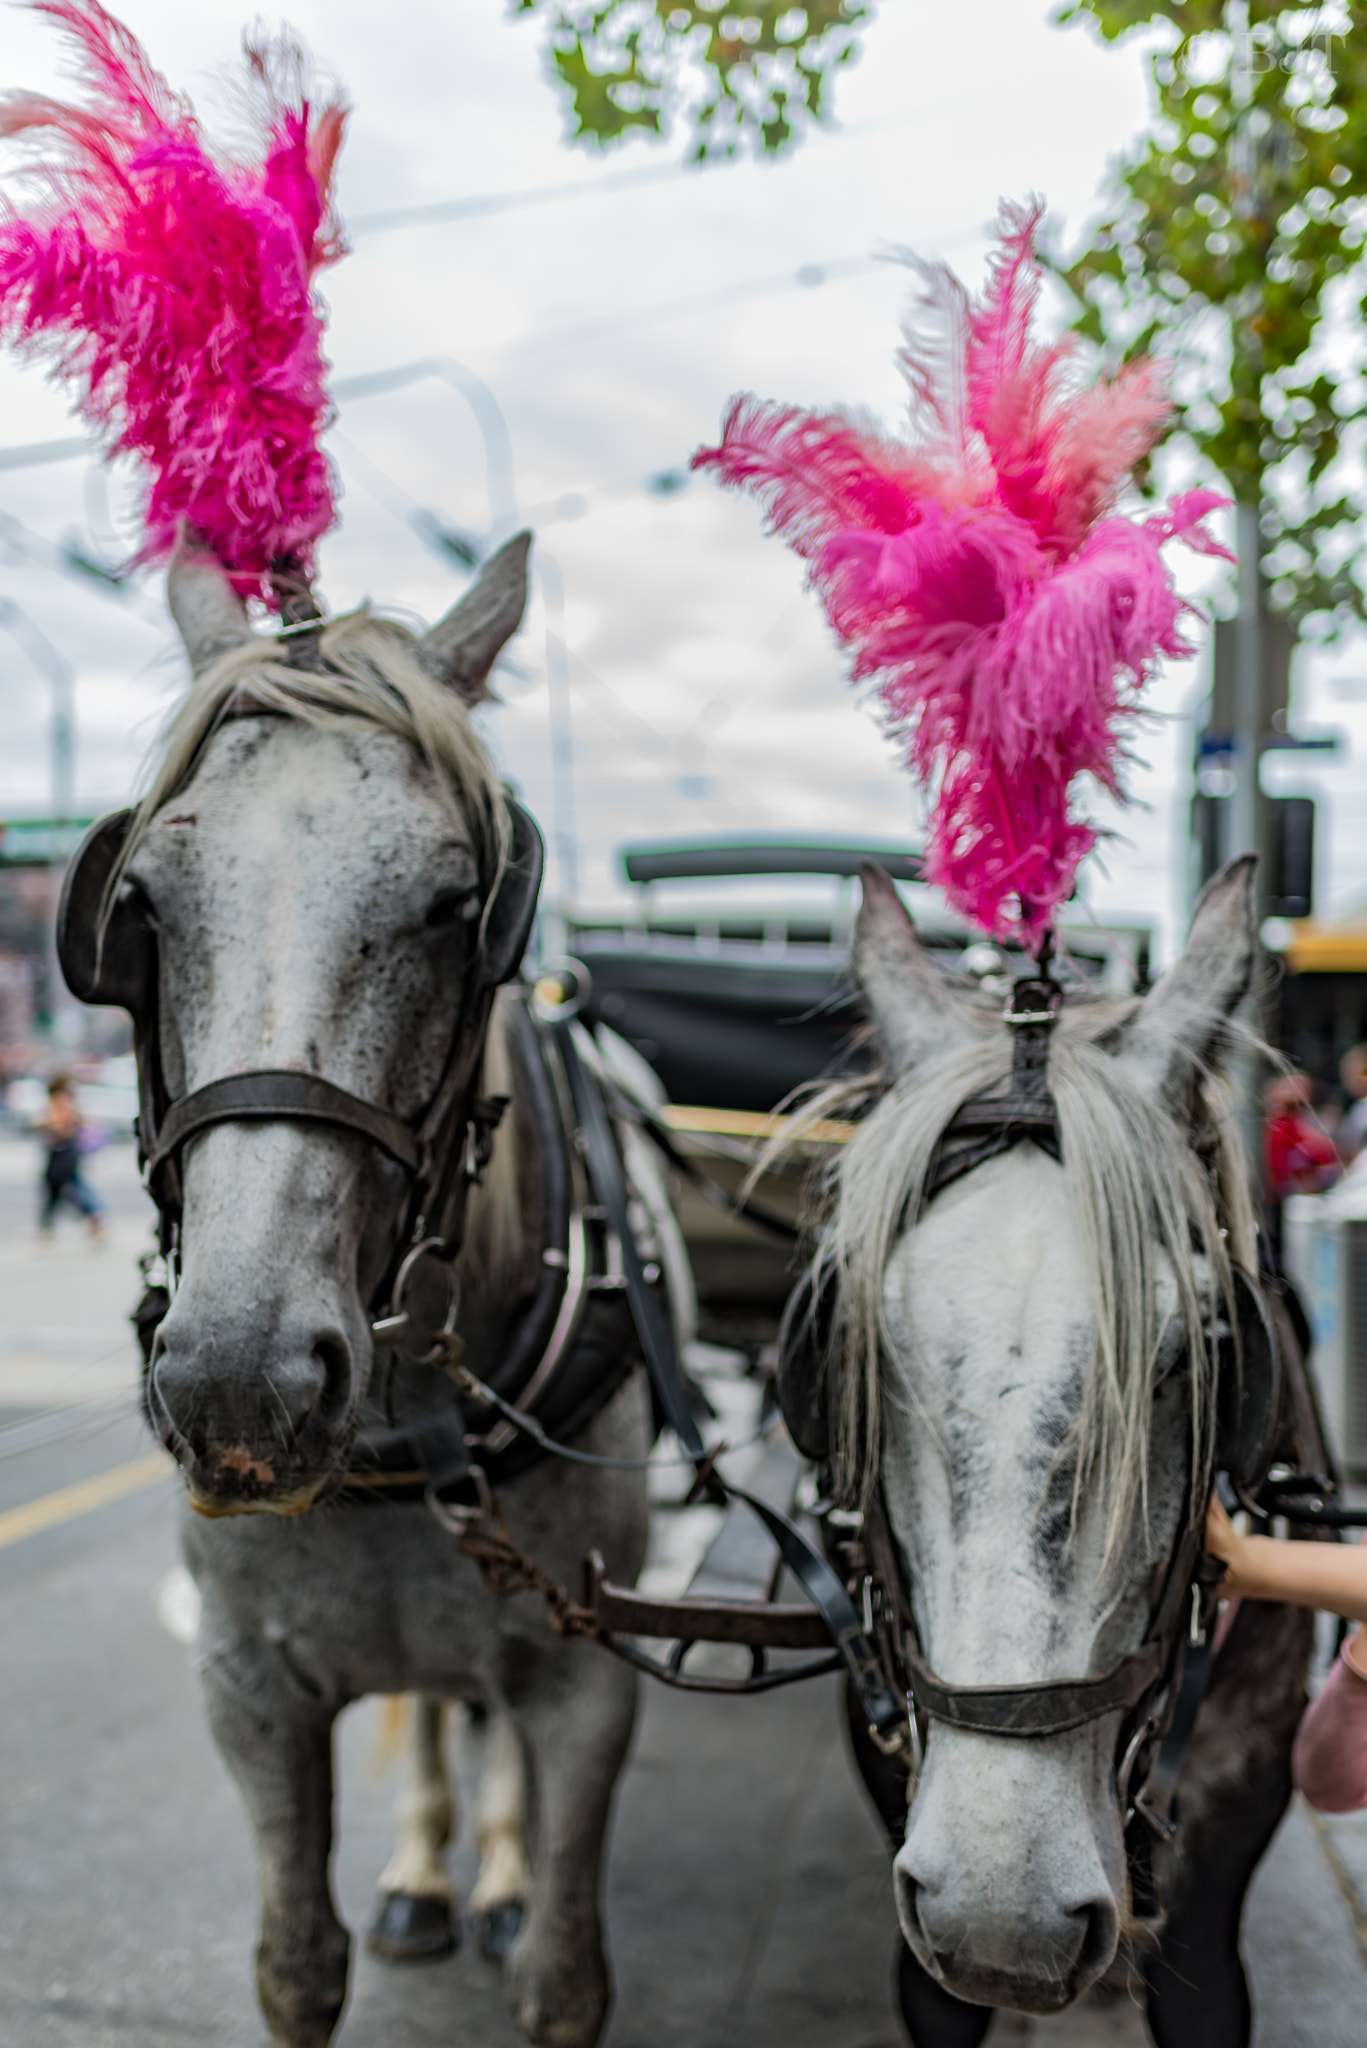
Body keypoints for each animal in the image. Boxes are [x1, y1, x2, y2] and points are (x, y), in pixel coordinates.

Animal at [96, 548, 651, 2048]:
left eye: (460, 906)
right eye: (141, 904)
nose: (239, 1382)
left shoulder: (587, 1678)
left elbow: (563, 1975)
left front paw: (524, 1893)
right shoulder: (247, 1687)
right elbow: (296, 1963)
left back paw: (495, 1870)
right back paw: (422, 1870)